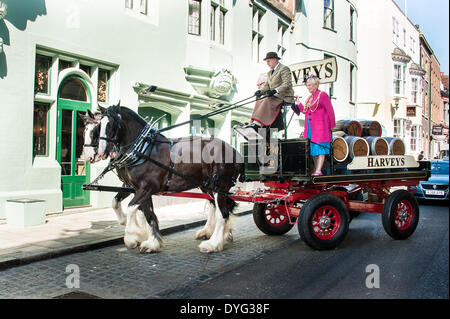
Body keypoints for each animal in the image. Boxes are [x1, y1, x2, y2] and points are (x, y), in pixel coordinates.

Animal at [81, 105, 243, 255]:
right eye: (98, 126)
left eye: (111, 125)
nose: (95, 154)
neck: (144, 149)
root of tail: (234, 151)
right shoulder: (137, 188)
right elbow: (146, 214)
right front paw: (151, 242)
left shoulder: (145, 189)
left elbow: (132, 208)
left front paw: (132, 236)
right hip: (207, 186)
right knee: (217, 206)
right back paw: (216, 234)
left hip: (219, 186)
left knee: (223, 213)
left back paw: (213, 244)